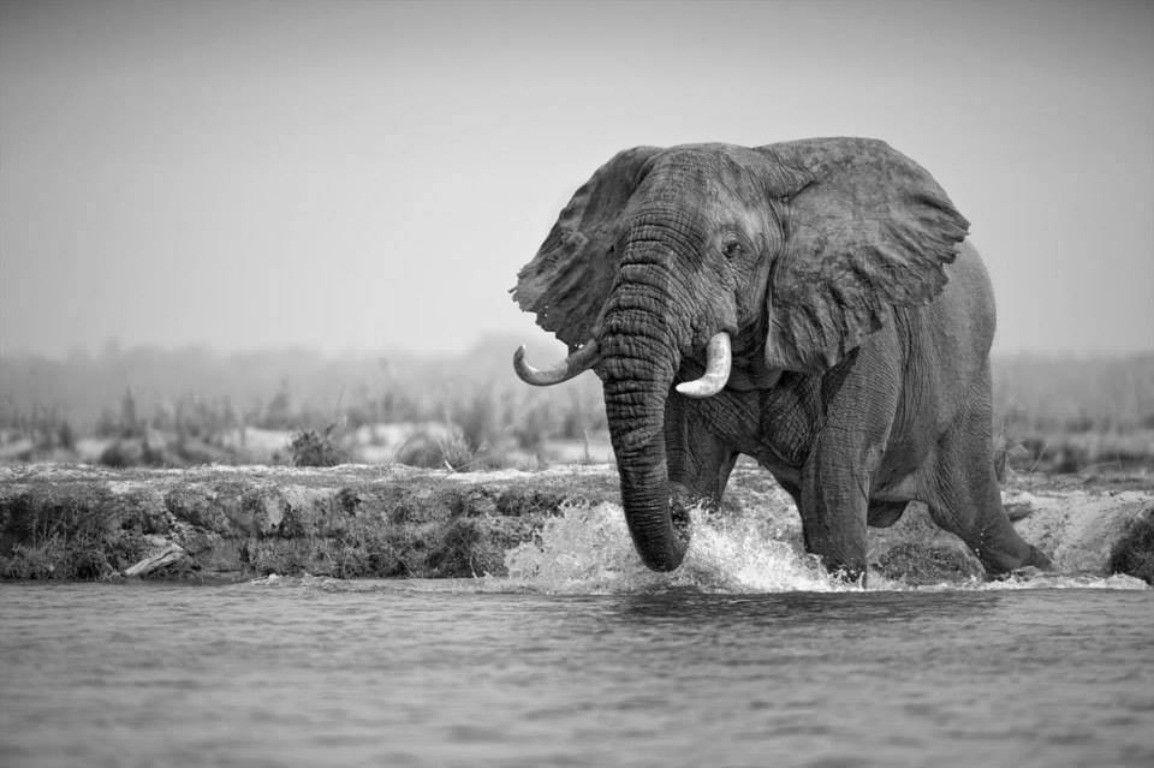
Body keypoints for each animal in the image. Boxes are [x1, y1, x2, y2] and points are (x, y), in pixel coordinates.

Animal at [510, 138, 1051, 582]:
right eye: (615, 246)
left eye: (732, 249)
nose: (677, 509)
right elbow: (694, 461)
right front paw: (691, 506)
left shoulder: (860, 320)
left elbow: (835, 474)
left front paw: (839, 585)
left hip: (968, 383)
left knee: (973, 513)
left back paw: (1033, 569)